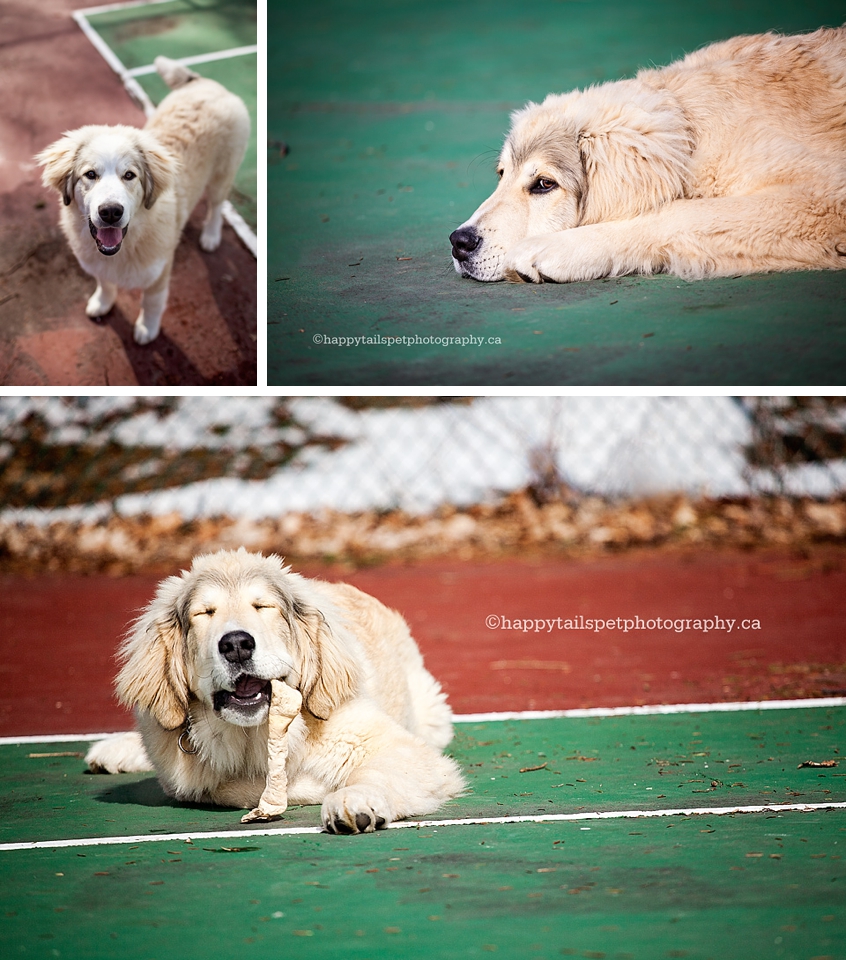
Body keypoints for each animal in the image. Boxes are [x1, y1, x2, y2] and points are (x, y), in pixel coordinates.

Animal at [37, 54, 248, 344]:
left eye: (129, 175)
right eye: (90, 174)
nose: (110, 212)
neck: (126, 246)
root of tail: (204, 83)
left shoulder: (159, 273)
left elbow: (152, 303)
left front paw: (147, 329)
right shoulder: (100, 265)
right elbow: (105, 283)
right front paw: (102, 303)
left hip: (222, 174)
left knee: (216, 206)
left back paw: (211, 236)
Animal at [85, 548, 468, 832]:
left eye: (262, 606)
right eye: (205, 613)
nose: (236, 644)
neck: (260, 735)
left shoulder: (400, 748)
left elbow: (371, 773)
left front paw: (351, 800)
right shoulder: (193, 781)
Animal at [450, 24, 846, 284]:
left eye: (545, 184)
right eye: (502, 175)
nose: (459, 243)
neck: (691, 132)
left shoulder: (822, 201)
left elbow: (685, 214)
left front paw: (558, 248)